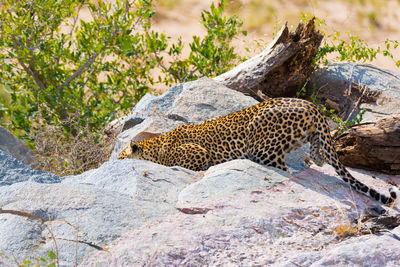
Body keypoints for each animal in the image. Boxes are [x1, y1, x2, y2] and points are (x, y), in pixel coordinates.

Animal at [117, 97, 398, 206]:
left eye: (119, 157)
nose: (116, 161)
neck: (157, 146)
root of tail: (312, 106)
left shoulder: (198, 154)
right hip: (310, 138)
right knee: (319, 155)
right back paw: (315, 155)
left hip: (261, 146)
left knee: (281, 166)